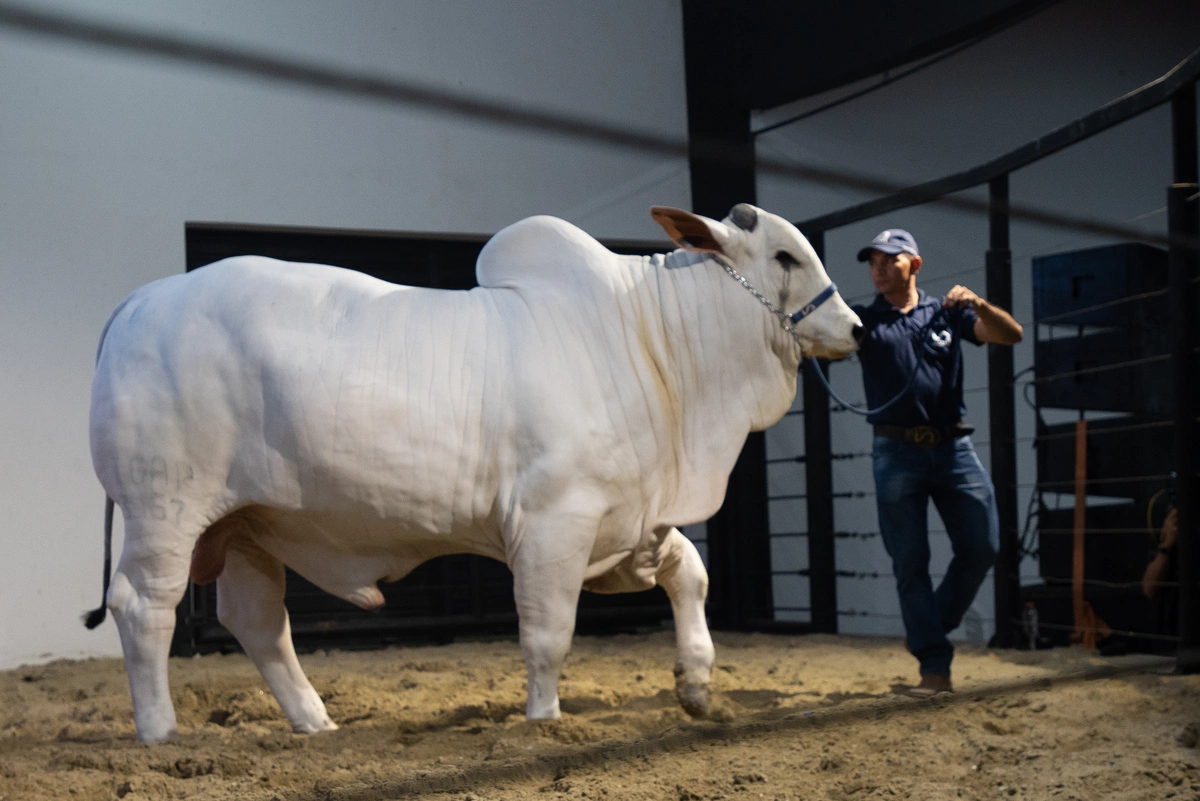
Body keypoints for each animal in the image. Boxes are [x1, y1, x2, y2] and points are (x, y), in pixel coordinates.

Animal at [87, 203, 864, 743]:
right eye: (786, 255)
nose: (857, 328)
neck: (651, 342)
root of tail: (140, 300)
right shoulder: (555, 519)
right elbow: (548, 629)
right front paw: (544, 718)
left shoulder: (626, 520)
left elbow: (690, 573)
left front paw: (697, 683)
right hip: (166, 508)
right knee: (143, 606)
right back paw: (161, 729)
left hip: (247, 524)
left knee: (257, 621)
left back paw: (315, 722)